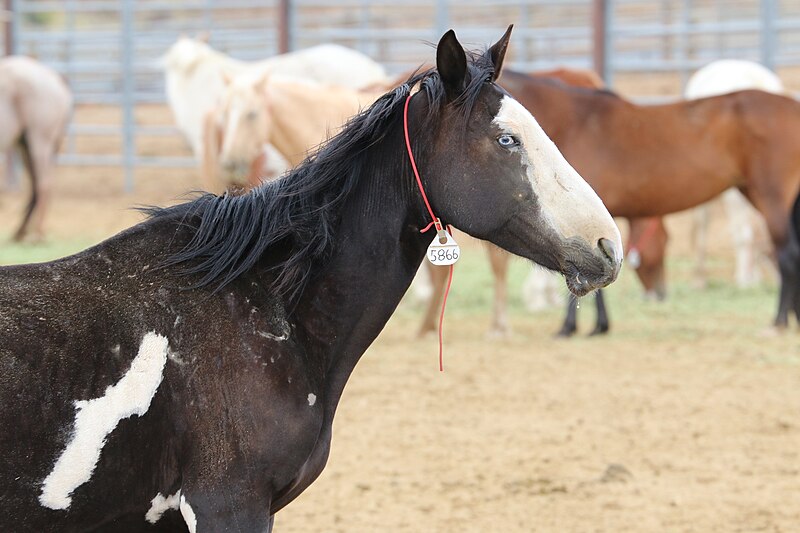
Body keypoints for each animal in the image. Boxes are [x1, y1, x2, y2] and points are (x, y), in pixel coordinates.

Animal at [0, 56, 72, 241]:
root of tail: (55, 78)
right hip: (25, 144)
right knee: (35, 186)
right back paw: (21, 232)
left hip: (39, 141)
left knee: (43, 184)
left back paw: (37, 235)